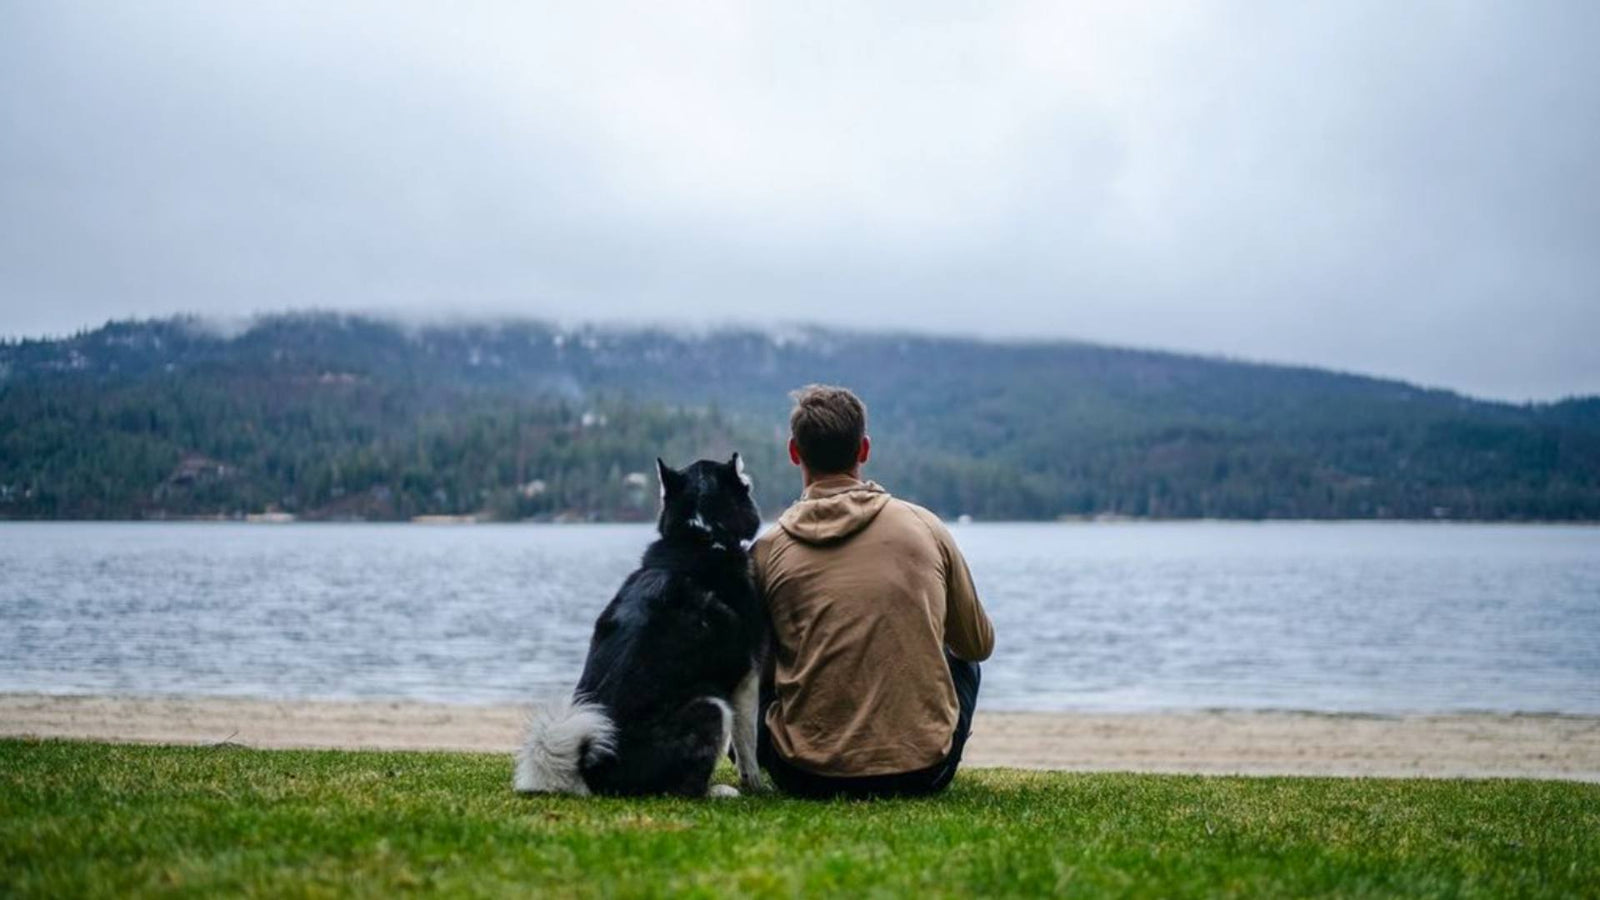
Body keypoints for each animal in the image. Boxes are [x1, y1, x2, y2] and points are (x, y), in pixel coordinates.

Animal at [512, 451, 761, 794]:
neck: (702, 535)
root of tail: (596, 770)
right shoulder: (747, 676)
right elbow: (748, 743)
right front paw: (757, 785)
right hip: (711, 705)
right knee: (684, 789)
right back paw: (719, 791)